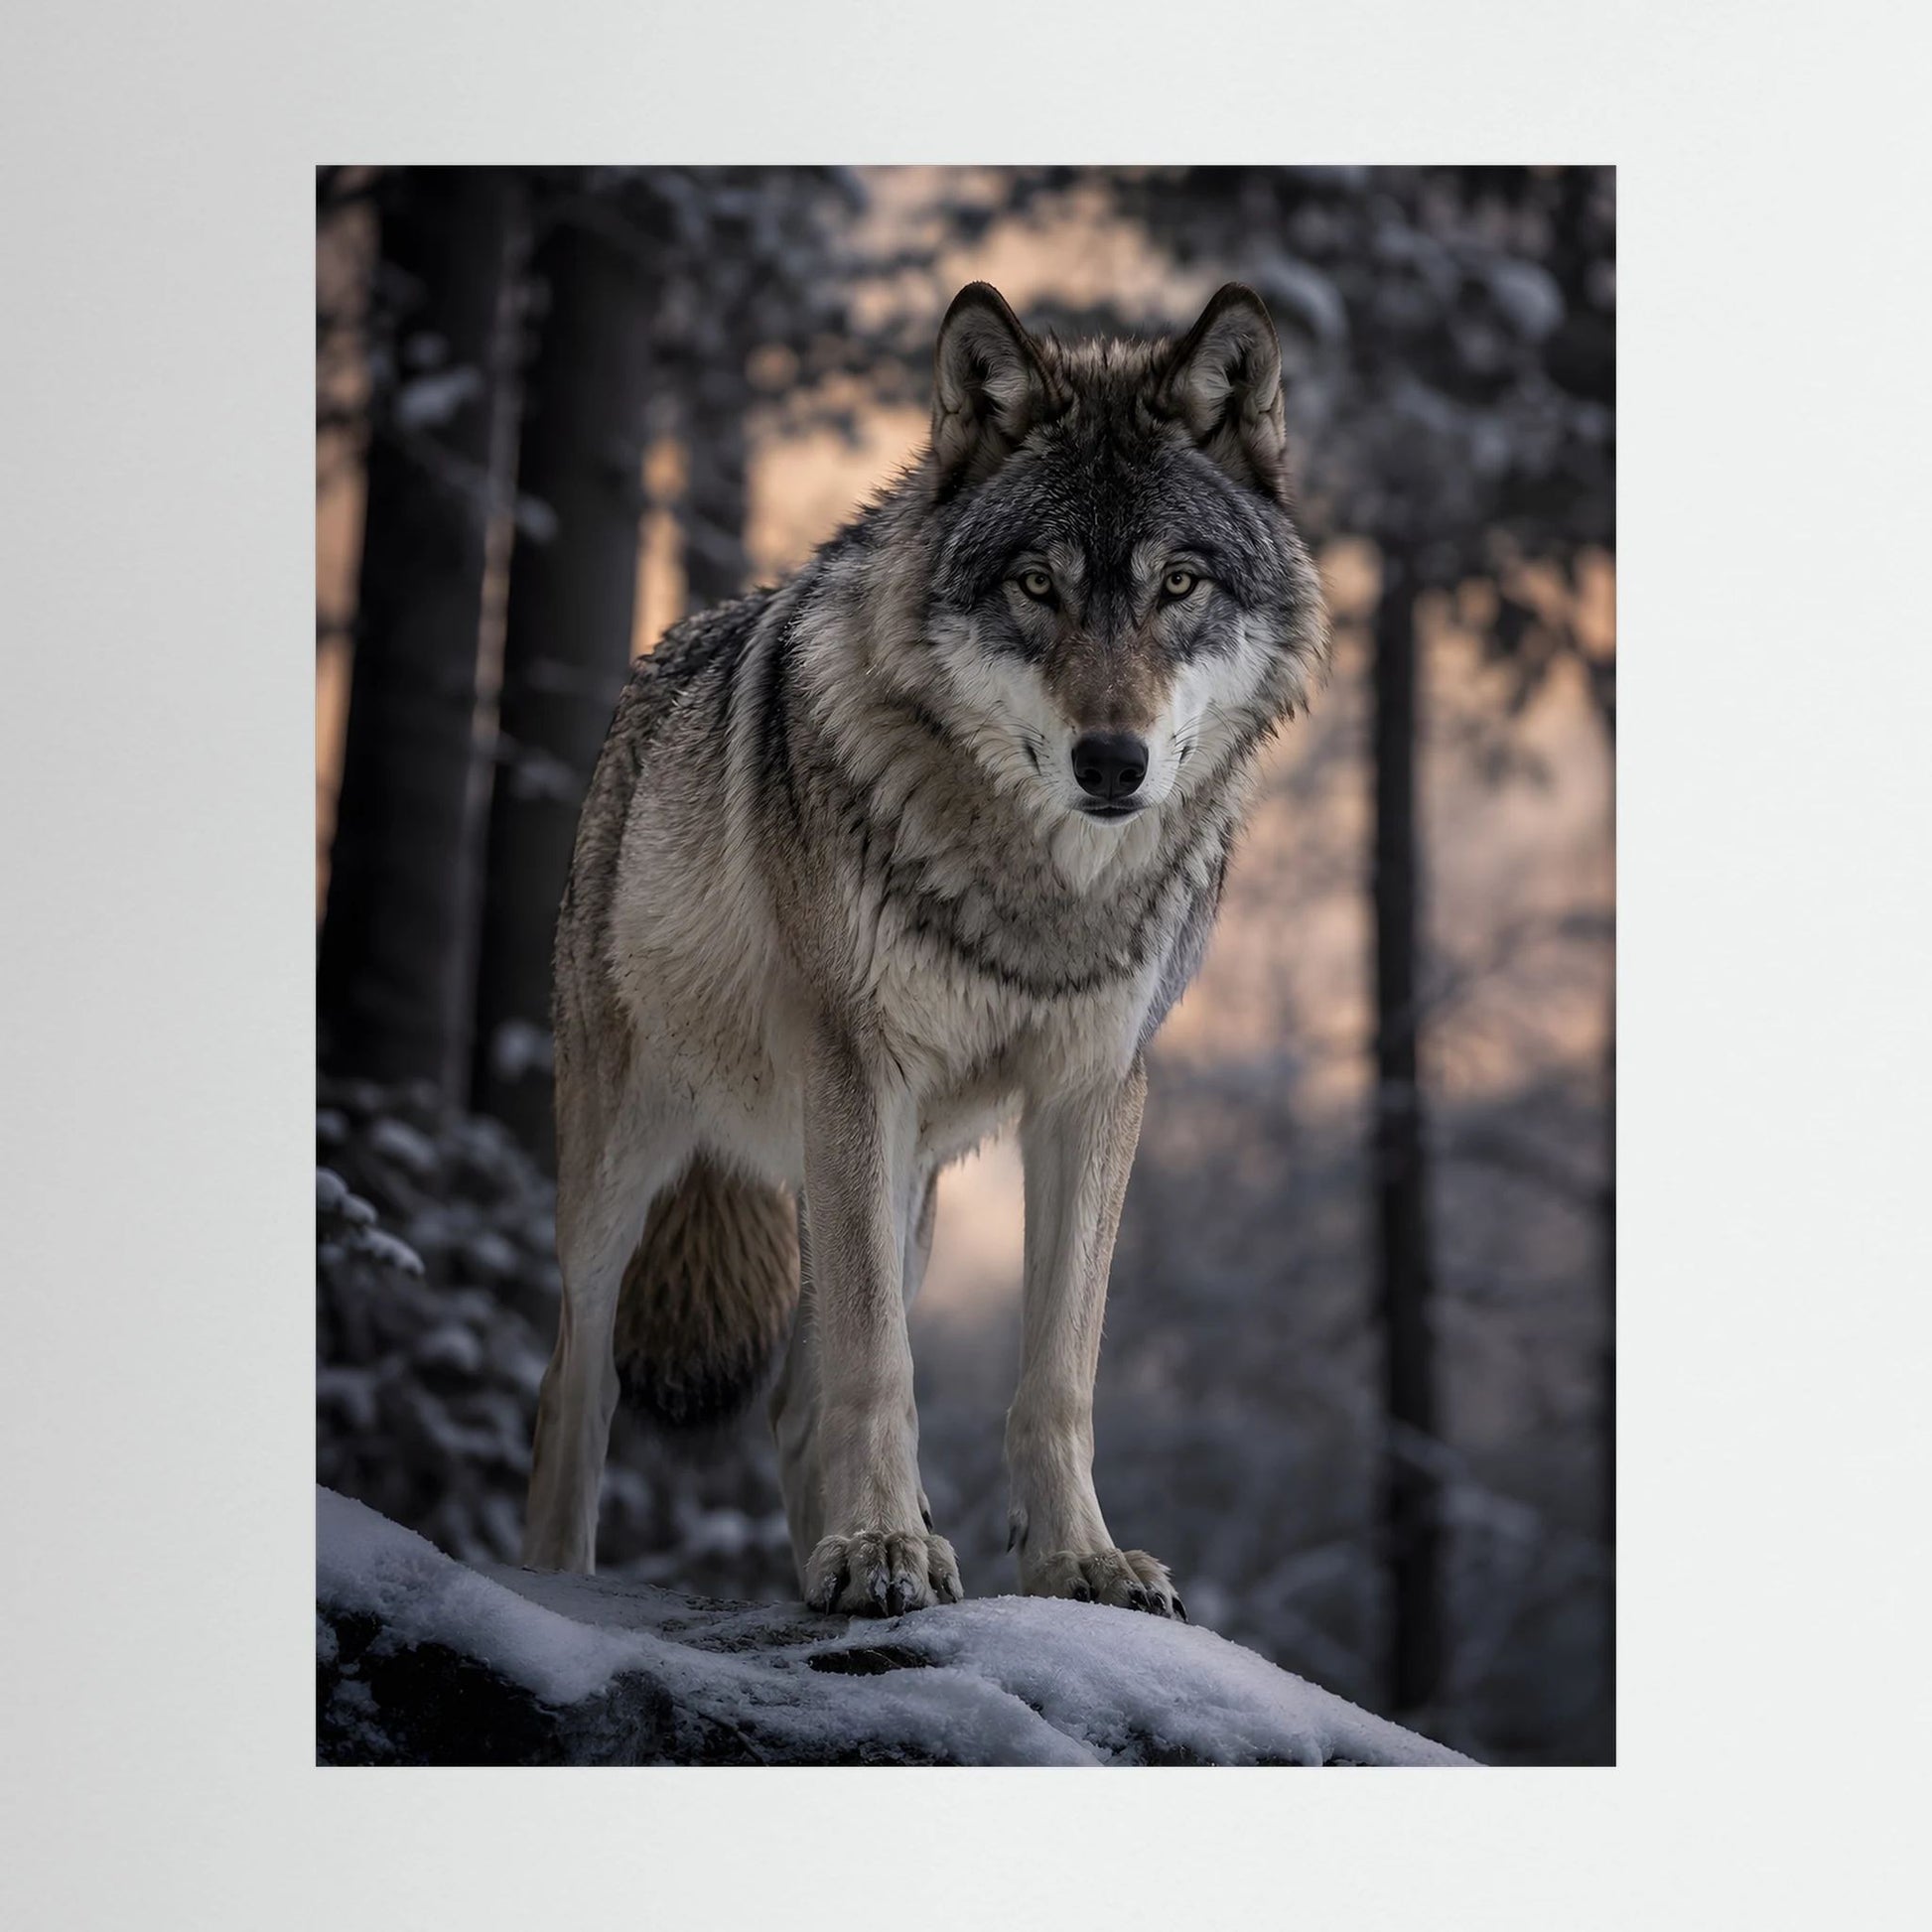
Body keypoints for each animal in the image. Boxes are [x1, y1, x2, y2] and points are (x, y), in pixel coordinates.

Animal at [522, 282, 1328, 1619]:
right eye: (1037, 584)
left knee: (793, 1401)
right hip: (635, 1158)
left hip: (903, 1189)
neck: (1037, 885)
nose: (1111, 760)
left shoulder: (1094, 1092)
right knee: (574, 1385)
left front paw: (1078, 1561)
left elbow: (1055, 1375)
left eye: (1177, 581)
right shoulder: (859, 1070)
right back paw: (564, 1582)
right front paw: (882, 1545)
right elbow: (880, 1366)